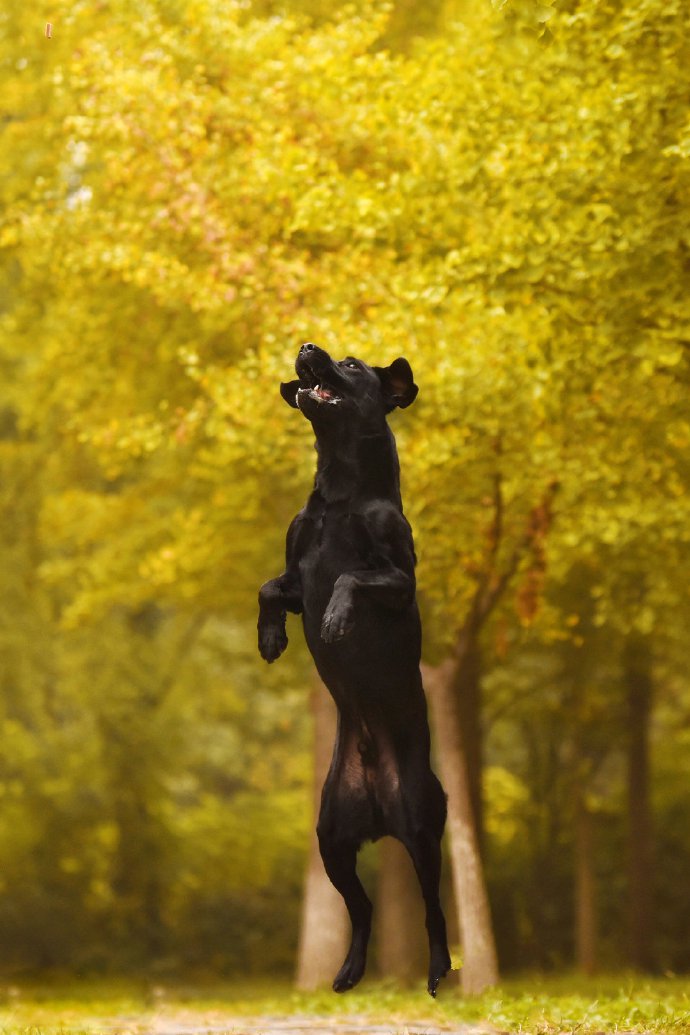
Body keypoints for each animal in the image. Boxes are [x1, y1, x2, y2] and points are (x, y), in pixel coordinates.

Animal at [258, 343, 453, 997]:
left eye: (349, 364)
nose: (305, 348)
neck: (340, 496)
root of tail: (378, 811)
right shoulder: (294, 578)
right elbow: (269, 588)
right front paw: (270, 638)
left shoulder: (399, 580)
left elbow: (351, 577)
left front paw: (338, 621)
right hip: (332, 840)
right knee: (363, 909)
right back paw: (346, 971)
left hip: (422, 829)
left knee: (433, 909)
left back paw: (439, 972)